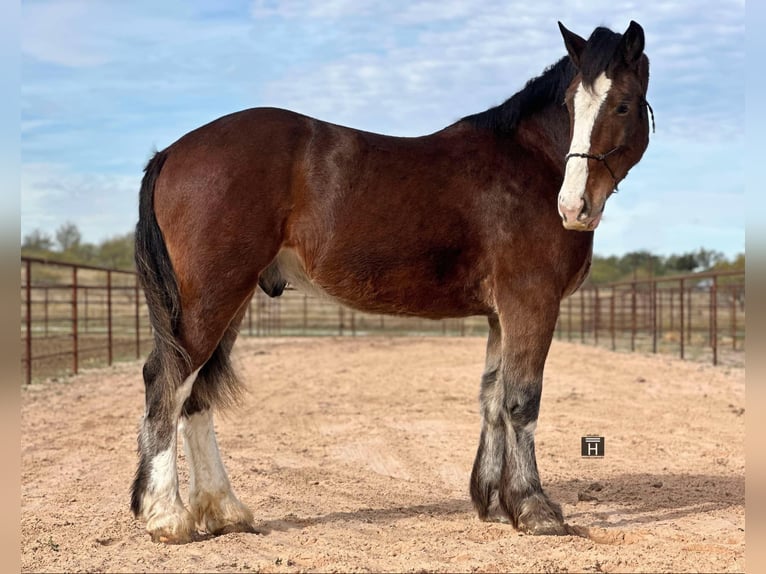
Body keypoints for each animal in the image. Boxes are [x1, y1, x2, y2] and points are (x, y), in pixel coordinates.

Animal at [132, 21, 656, 544]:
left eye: (622, 104)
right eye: (570, 104)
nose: (573, 207)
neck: (530, 162)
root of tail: (173, 152)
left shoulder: (499, 315)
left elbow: (491, 398)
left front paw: (491, 502)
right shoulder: (530, 302)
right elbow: (521, 402)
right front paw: (534, 509)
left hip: (229, 301)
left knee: (196, 396)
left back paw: (223, 510)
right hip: (211, 298)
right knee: (168, 381)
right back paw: (167, 516)